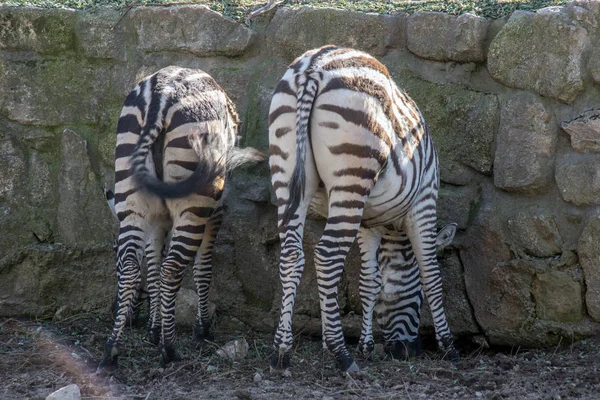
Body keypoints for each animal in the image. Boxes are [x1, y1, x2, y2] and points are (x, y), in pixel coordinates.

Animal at [99, 66, 264, 372]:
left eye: (112, 253)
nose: (118, 313)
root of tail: (161, 93)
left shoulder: (157, 218)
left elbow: (152, 266)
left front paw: (153, 329)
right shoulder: (216, 212)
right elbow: (202, 268)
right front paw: (201, 329)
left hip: (131, 187)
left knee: (132, 266)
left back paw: (112, 350)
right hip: (194, 198)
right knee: (173, 267)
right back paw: (170, 350)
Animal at [268, 45, 460, 374]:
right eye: (417, 299)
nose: (407, 351)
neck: (392, 227)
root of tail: (314, 67)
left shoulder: (369, 224)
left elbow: (370, 281)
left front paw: (364, 345)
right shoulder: (424, 203)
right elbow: (431, 276)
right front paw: (448, 346)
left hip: (289, 171)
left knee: (293, 254)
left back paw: (282, 350)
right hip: (352, 174)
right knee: (327, 256)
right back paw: (342, 355)